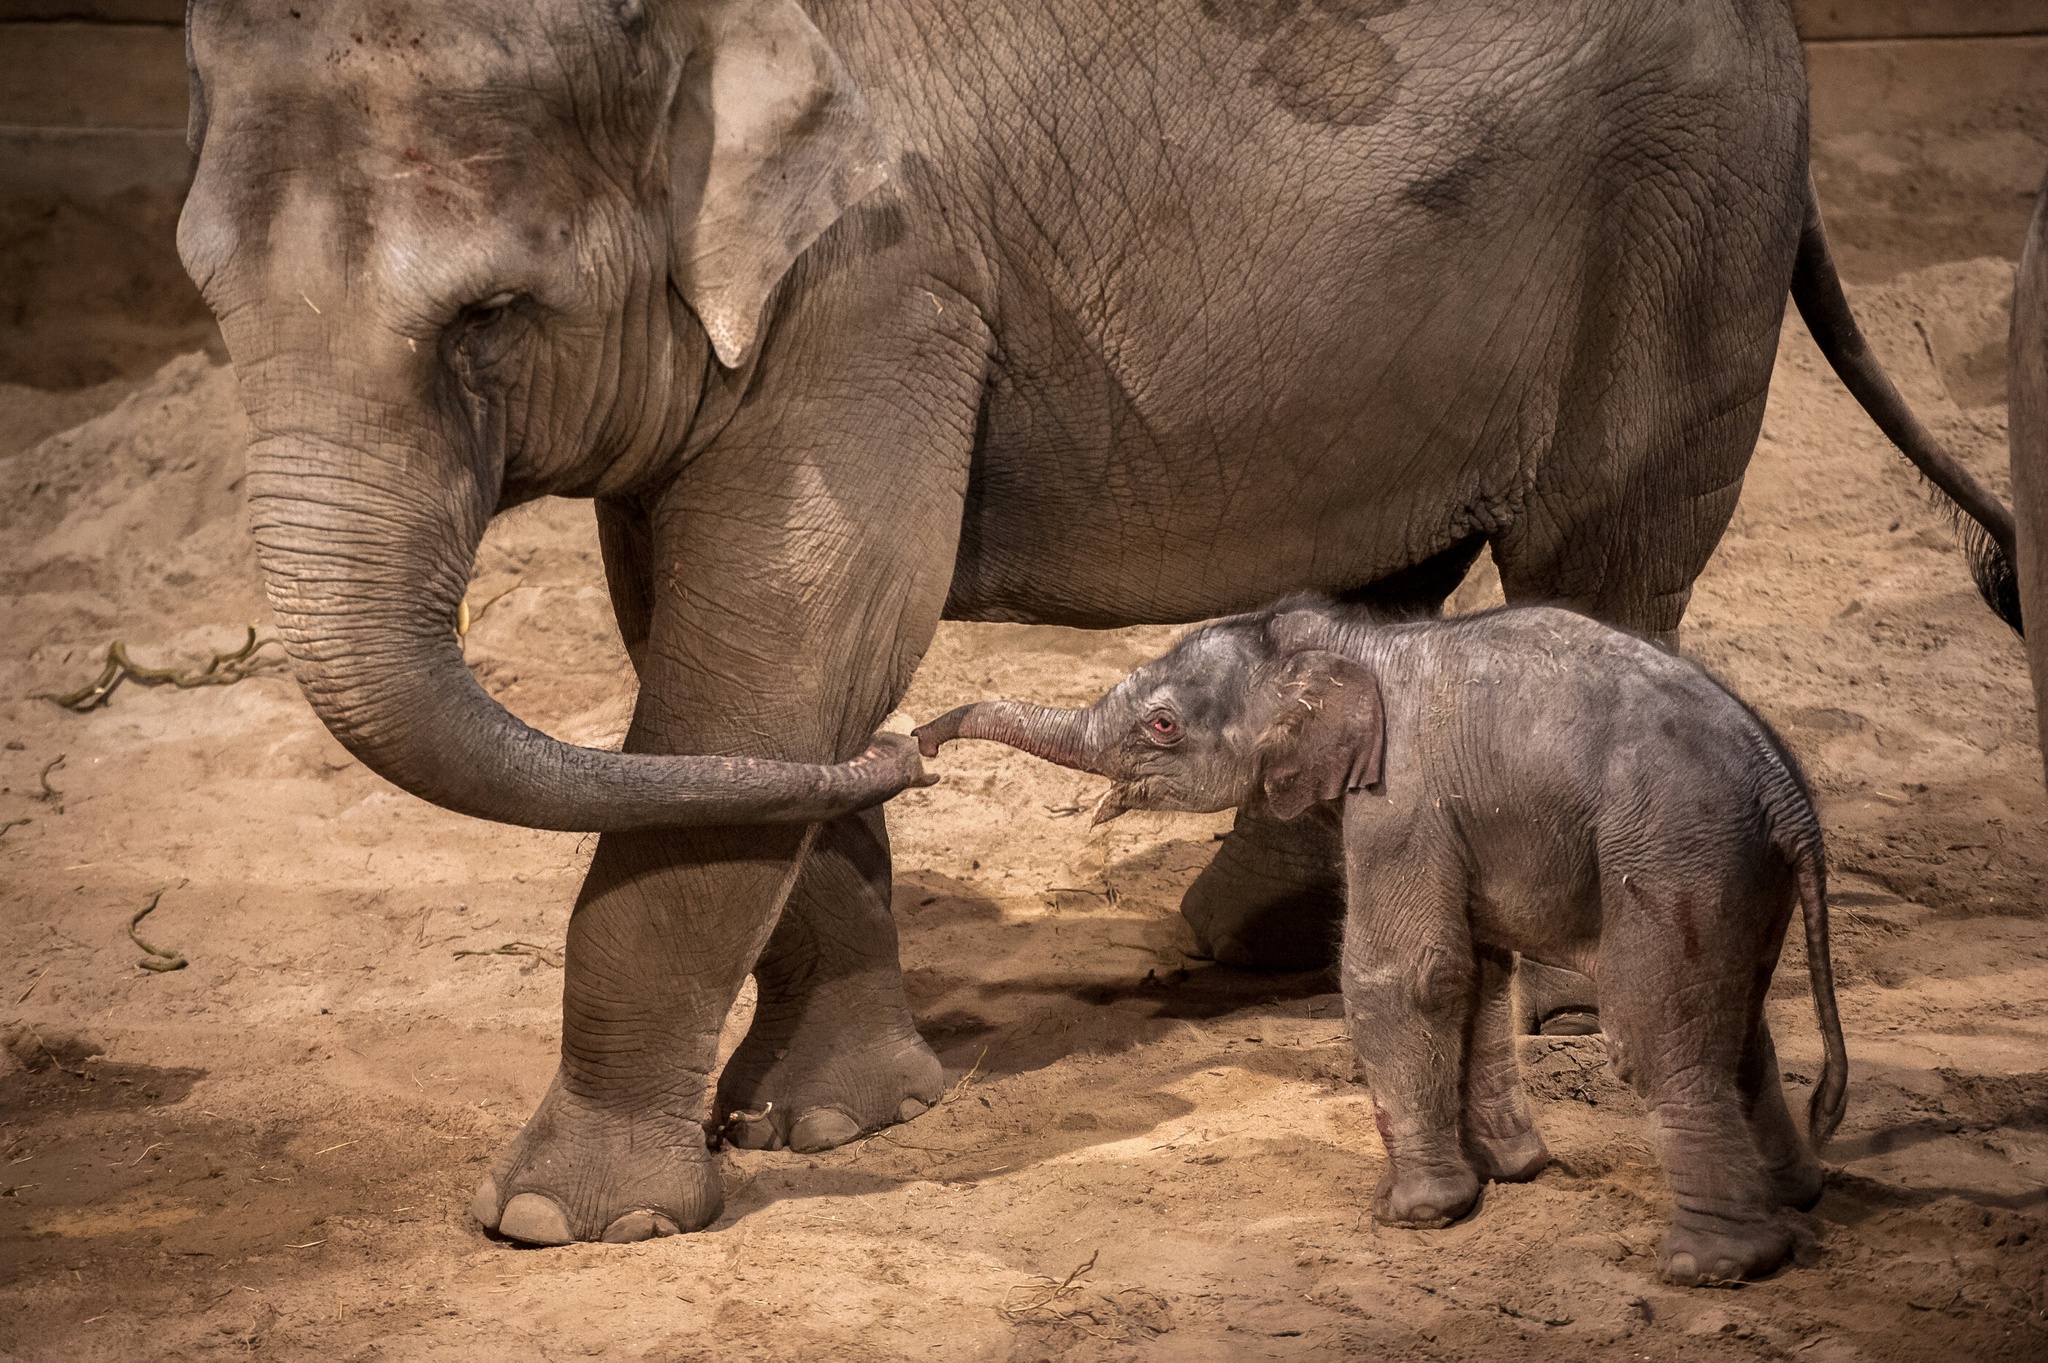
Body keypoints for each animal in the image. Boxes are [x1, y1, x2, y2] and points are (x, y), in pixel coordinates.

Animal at [921, 601, 1851, 1277]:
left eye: (1162, 726)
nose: (920, 745)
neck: (1353, 640)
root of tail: (1788, 793)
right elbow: (1475, 969)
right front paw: (1509, 1174)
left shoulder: (1401, 800)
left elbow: (1400, 974)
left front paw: (1412, 1215)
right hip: (1731, 872)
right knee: (1737, 1024)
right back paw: (1798, 1194)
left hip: (1674, 854)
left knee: (1657, 1034)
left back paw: (1714, 1265)